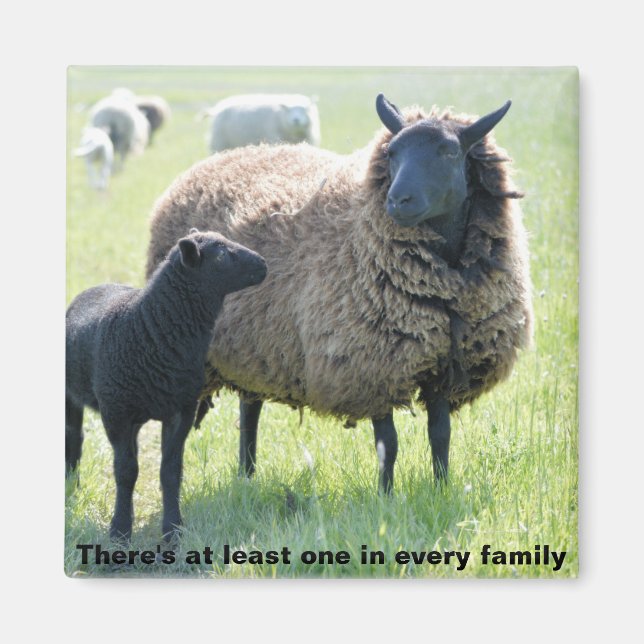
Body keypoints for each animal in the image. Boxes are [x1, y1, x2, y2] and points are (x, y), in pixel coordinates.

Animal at [66, 230, 267, 541]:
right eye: (221, 254)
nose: (264, 263)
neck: (151, 327)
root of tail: (95, 288)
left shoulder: (181, 410)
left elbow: (170, 471)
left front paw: (173, 529)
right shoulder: (116, 412)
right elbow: (125, 471)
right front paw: (120, 531)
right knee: (74, 437)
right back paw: (70, 489)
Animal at [146, 94, 533, 494]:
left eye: (449, 152)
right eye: (392, 152)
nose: (398, 200)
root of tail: (216, 161)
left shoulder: (444, 363)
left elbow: (440, 435)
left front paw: (441, 489)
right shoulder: (372, 366)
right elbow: (388, 444)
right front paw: (386, 497)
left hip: (256, 344)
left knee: (249, 409)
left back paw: (247, 475)